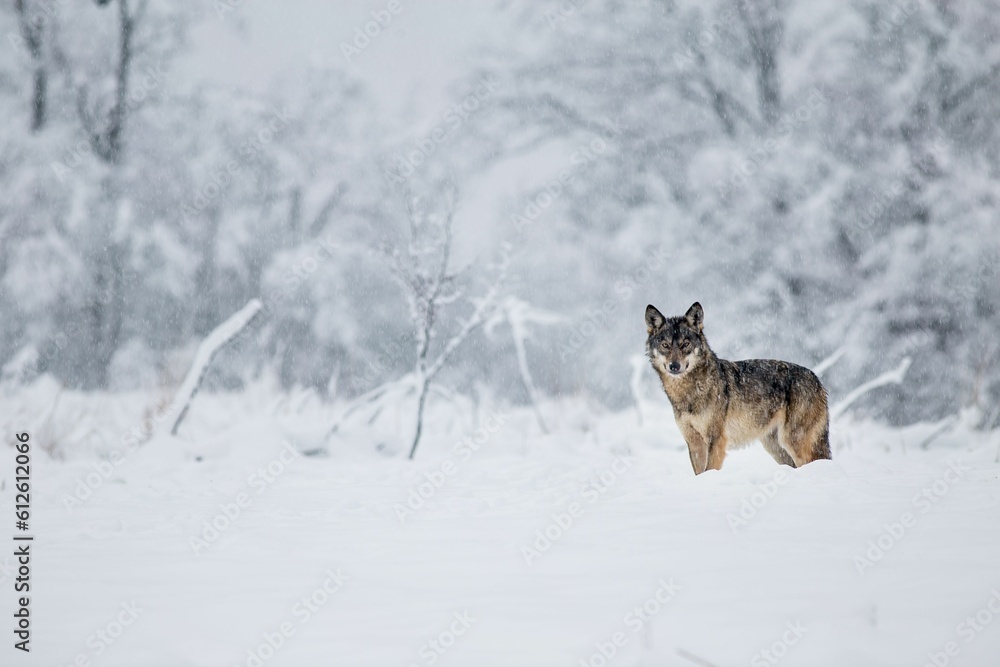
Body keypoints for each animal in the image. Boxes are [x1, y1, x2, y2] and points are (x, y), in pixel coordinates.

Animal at [645, 302, 830, 474]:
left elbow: (709, 469)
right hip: (776, 448)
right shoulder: (694, 443)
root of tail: (817, 379)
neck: (689, 391)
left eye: (685, 344)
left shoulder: (716, 440)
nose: (674, 366)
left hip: (793, 441)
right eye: (665, 345)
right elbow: (700, 472)